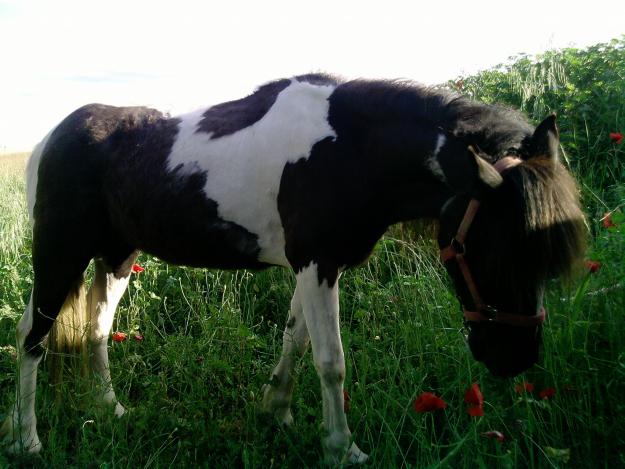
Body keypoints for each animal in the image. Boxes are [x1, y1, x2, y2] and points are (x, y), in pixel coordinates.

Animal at [1, 74, 584, 464]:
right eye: (497, 250)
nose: (514, 358)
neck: (349, 149)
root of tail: (50, 139)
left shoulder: (316, 267)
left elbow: (295, 341)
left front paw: (277, 411)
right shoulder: (316, 263)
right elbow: (331, 361)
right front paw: (342, 448)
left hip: (118, 258)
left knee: (96, 330)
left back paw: (111, 409)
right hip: (59, 253)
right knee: (30, 336)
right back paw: (26, 440)